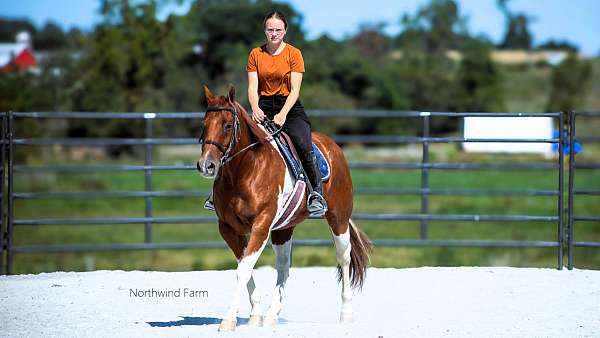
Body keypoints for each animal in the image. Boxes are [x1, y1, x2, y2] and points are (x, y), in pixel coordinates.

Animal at [197, 86, 370, 332]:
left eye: (227, 125)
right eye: (204, 124)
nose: (206, 165)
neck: (246, 170)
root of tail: (333, 146)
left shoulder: (262, 224)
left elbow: (244, 269)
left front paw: (229, 320)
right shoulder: (228, 229)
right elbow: (244, 267)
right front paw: (255, 316)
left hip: (339, 219)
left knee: (343, 258)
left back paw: (346, 314)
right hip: (283, 229)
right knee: (283, 267)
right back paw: (271, 316)